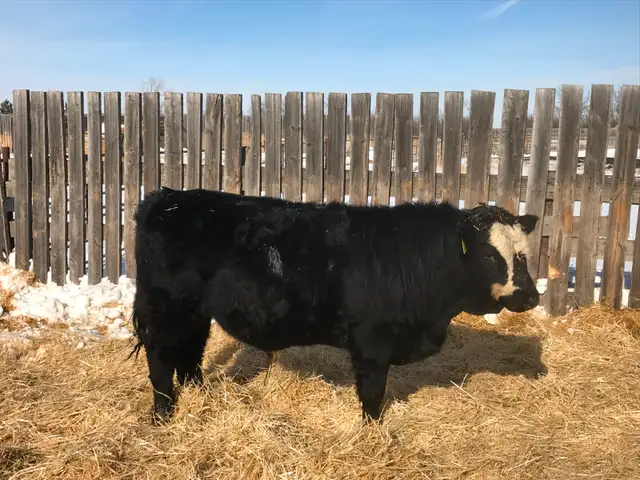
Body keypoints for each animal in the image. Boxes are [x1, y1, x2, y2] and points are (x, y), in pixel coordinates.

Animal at [130, 186, 540, 424]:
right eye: (489, 255)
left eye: (524, 254)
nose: (531, 297)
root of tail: (166, 197)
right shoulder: (372, 343)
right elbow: (373, 394)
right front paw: (374, 432)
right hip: (165, 307)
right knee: (161, 359)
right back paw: (164, 413)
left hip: (195, 311)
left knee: (190, 352)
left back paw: (200, 397)